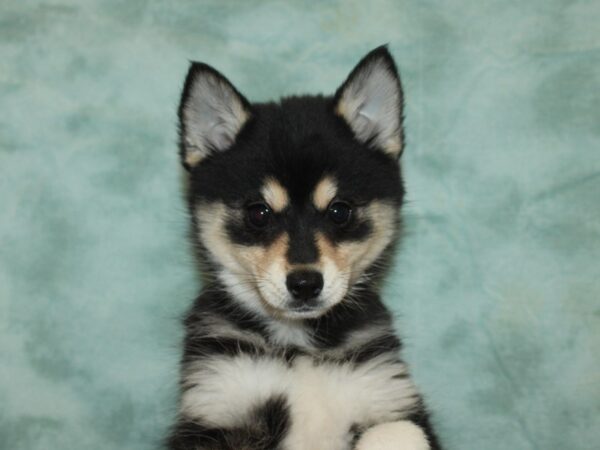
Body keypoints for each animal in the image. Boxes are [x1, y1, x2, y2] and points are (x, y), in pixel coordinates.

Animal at [166, 45, 442, 450]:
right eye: (259, 212)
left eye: (340, 210)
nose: (305, 284)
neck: (299, 347)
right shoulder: (218, 401)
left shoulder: (385, 393)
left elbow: (398, 431)